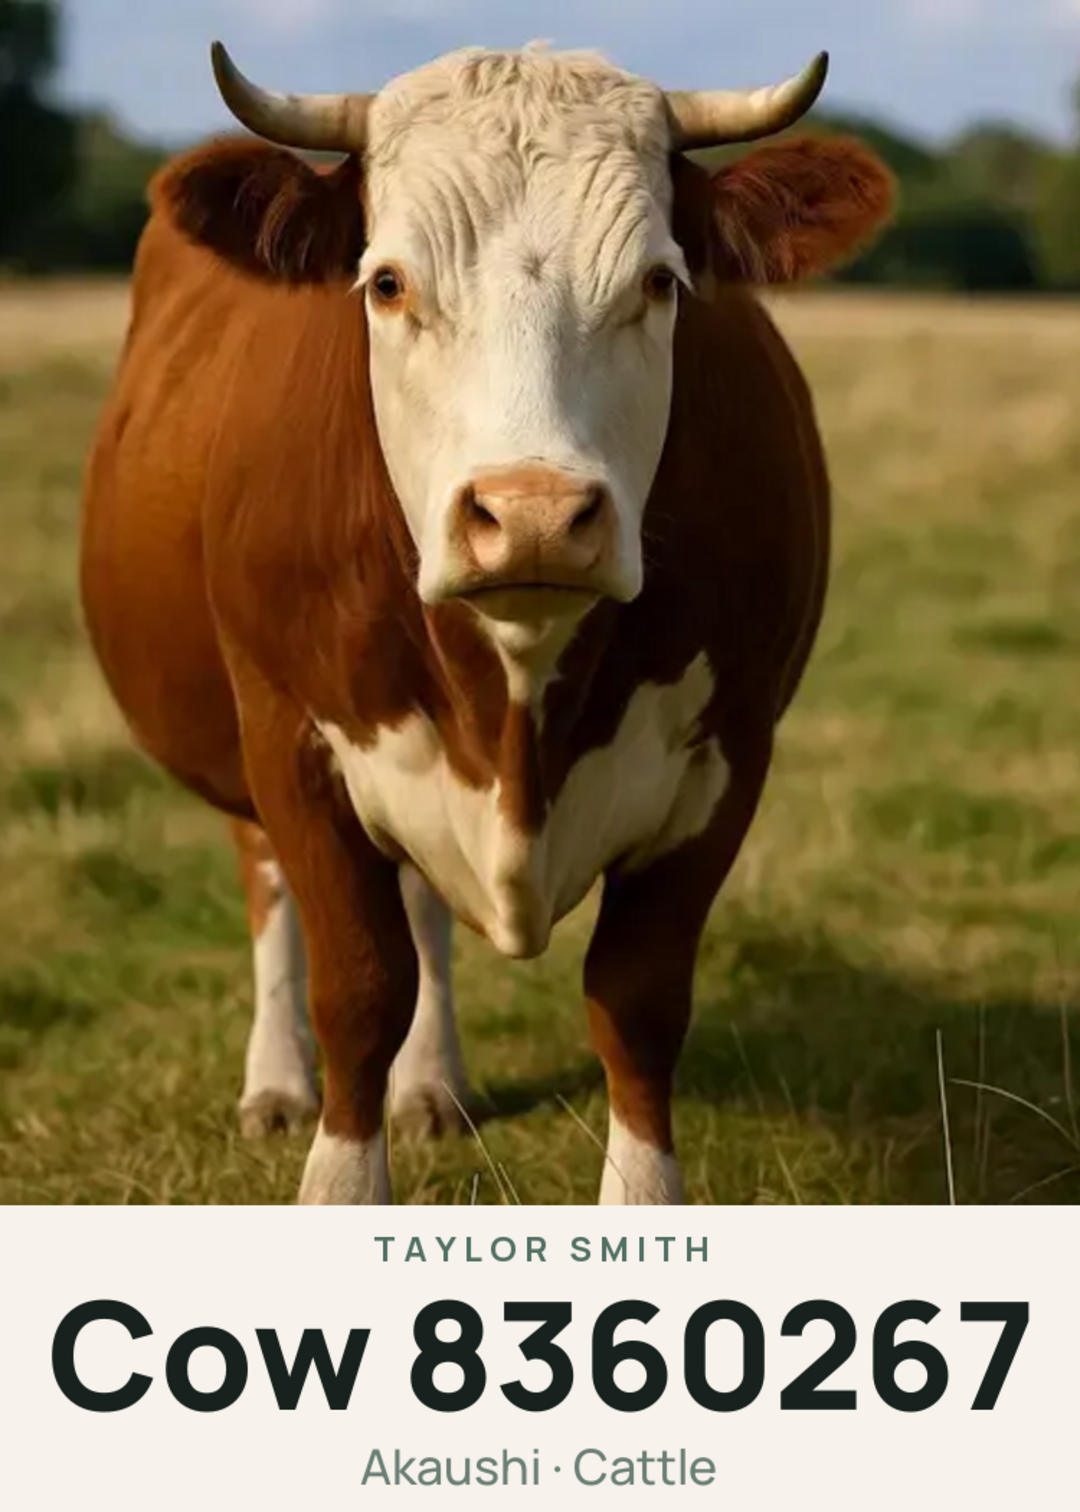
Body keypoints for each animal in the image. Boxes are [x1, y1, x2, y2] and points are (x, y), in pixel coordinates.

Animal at [79, 39, 894, 1205]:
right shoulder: (289, 737)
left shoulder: (729, 757)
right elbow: (358, 989)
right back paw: (275, 1082)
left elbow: (637, 1002)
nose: (534, 516)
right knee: (269, 884)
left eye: (659, 281)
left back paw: (431, 1086)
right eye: (387, 282)